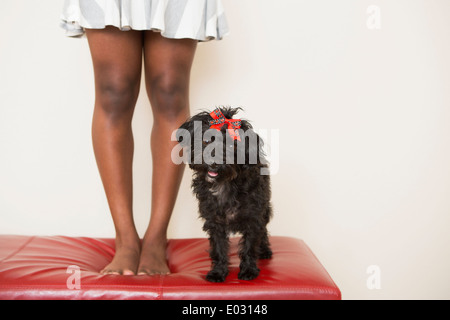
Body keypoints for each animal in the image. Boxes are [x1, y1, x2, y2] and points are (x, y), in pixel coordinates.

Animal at [178, 107, 272, 282]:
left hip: (265, 210)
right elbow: (219, 247)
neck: (224, 184)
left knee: (263, 231)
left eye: (231, 145)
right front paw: (218, 272)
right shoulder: (215, 221)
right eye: (206, 141)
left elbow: (250, 246)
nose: (214, 162)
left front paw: (249, 270)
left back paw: (264, 250)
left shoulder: (253, 218)